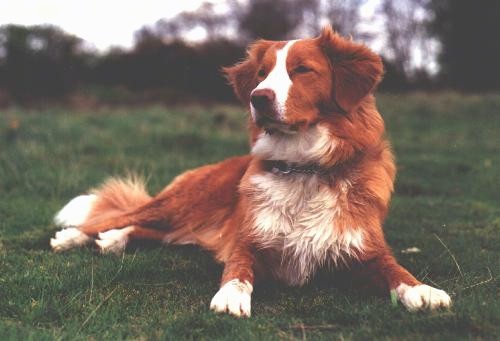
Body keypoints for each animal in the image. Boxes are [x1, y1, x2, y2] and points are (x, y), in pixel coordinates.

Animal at [48, 26, 452, 316]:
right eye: (261, 73)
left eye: (302, 70)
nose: (259, 97)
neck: (303, 168)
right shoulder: (247, 242)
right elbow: (238, 272)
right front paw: (230, 297)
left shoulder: (366, 251)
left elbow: (396, 270)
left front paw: (423, 290)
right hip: (182, 202)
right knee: (115, 218)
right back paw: (73, 238)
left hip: (194, 226)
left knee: (155, 232)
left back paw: (114, 241)